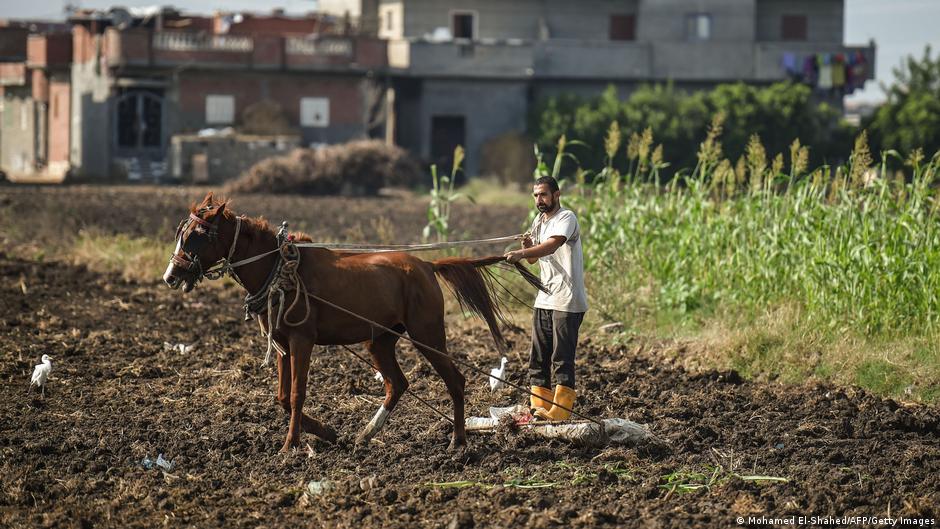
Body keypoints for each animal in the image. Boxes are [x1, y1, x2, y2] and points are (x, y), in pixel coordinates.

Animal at [162, 193, 544, 450]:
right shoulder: (282, 344)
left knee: (456, 381)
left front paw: (290, 445)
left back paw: (458, 442)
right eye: (181, 231)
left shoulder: (302, 341)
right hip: (380, 340)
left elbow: (297, 394)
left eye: (198, 235)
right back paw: (367, 433)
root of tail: (426, 265)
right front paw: (326, 433)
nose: (171, 275)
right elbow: (283, 397)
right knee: (397, 384)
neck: (281, 270)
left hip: (428, 334)